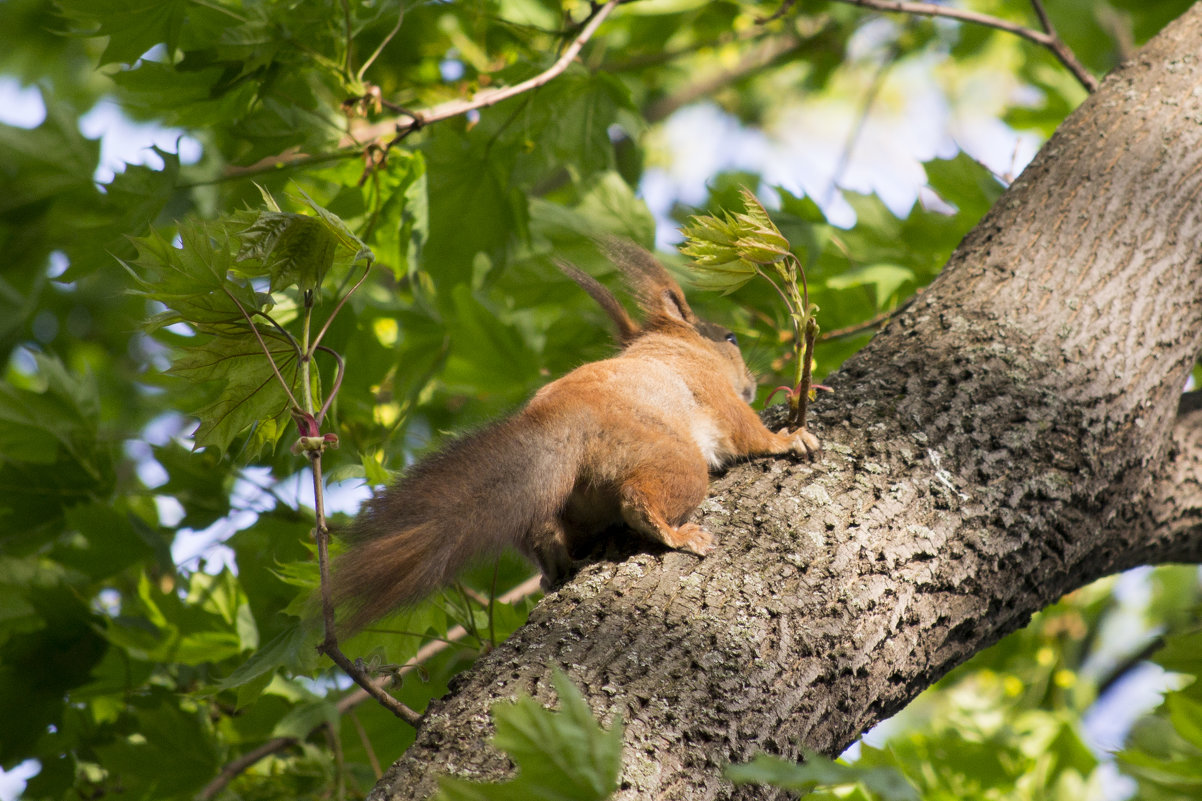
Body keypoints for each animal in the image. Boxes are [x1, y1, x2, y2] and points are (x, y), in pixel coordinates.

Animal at [329, 236, 817, 630]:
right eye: (731, 339)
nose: (751, 382)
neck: (675, 345)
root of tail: (563, 421)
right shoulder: (714, 392)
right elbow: (748, 433)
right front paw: (788, 439)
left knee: (545, 534)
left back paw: (556, 568)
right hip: (674, 459)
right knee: (641, 498)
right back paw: (674, 534)